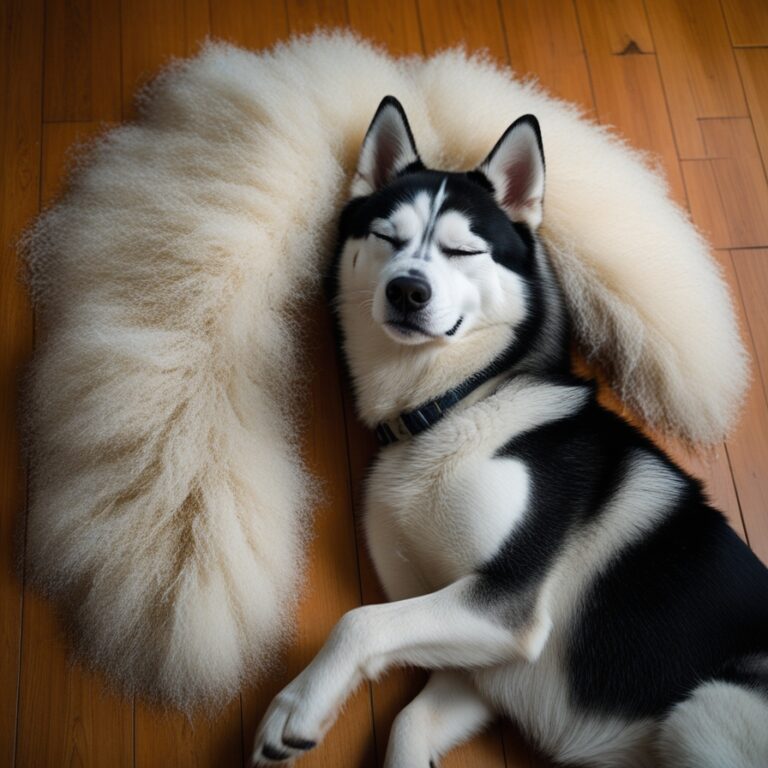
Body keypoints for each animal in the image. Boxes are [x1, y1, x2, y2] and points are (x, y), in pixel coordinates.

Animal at [255, 96, 768, 768]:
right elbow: (409, 720)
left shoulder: (508, 604)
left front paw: (298, 705)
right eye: (387, 237)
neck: (457, 407)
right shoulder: (481, 660)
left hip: (706, 706)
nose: (407, 289)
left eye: (464, 251)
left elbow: (360, 620)